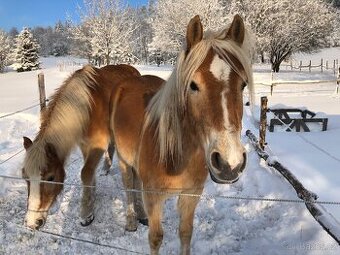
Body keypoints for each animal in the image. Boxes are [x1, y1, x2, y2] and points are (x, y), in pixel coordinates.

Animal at [21, 63, 141, 229]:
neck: (87, 107)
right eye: (25, 177)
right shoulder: (84, 145)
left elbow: (85, 172)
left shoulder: (97, 144)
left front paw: (85, 214)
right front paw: (91, 199)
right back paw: (105, 169)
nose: (32, 222)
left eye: (51, 177)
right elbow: (89, 172)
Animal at [110, 14, 254, 254]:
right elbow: (156, 238)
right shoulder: (154, 198)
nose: (230, 163)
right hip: (123, 160)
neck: (174, 154)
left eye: (243, 84)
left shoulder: (191, 196)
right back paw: (131, 220)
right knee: (129, 187)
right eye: (193, 85)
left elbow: (186, 233)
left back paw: (141, 216)